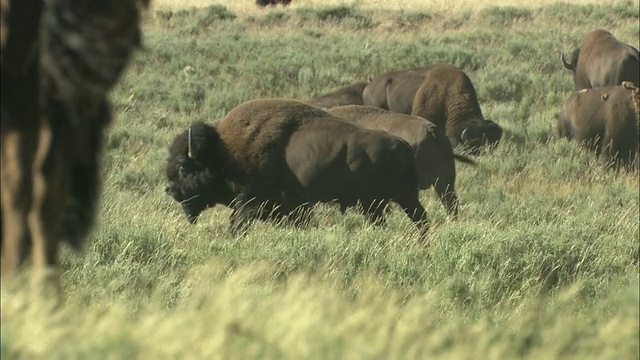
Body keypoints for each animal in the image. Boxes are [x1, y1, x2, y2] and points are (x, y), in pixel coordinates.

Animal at [165, 98, 430, 242]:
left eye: (182, 166)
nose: (170, 190)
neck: (223, 151)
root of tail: (402, 145)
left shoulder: (249, 200)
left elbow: (238, 223)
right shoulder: (297, 206)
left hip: (382, 201)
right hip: (396, 199)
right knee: (419, 219)